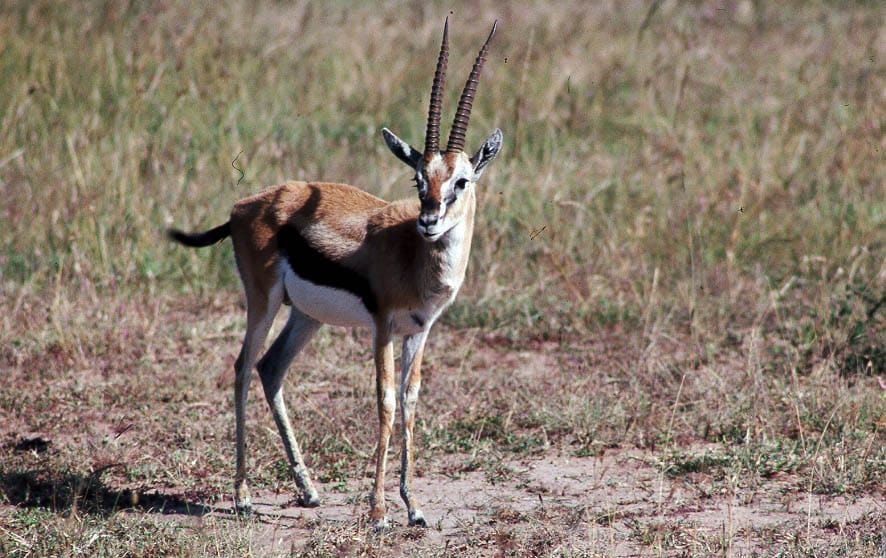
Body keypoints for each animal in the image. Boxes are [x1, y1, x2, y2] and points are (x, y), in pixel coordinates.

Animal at [168, 18, 502, 529]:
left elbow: (410, 402)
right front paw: (380, 512)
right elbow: (385, 402)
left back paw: (308, 492)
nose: (428, 221)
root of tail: (243, 207)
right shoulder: (382, 328)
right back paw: (243, 497)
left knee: (270, 368)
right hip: (263, 303)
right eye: (418, 180)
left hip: (306, 316)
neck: (413, 256)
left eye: (461, 181)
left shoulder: (419, 331)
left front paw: (415, 508)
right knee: (243, 367)